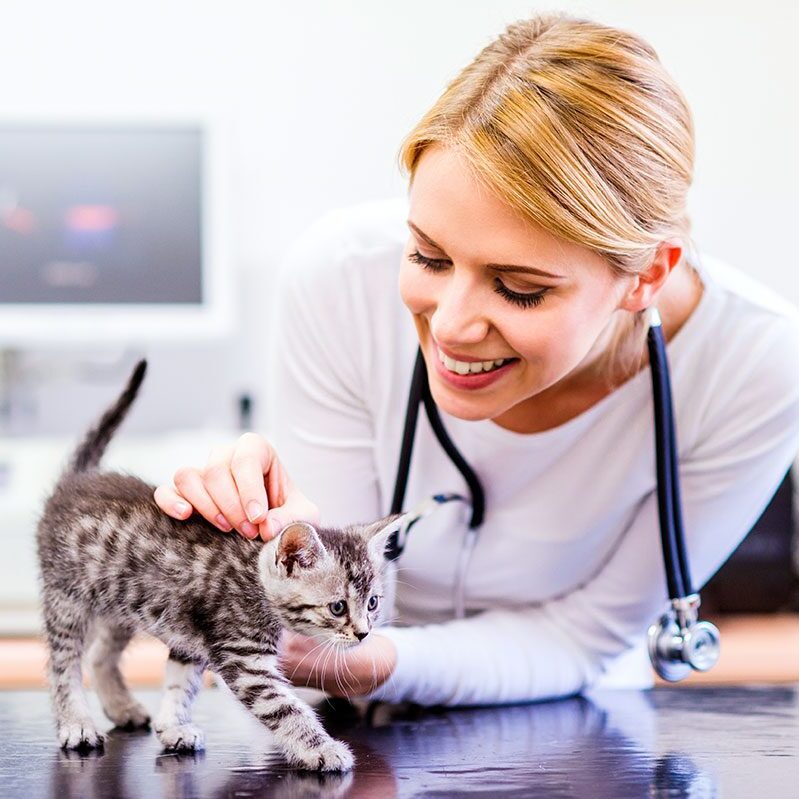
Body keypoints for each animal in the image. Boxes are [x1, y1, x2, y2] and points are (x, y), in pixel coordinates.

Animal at [36, 360, 406, 772]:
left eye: (372, 602)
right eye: (338, 607)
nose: (364, 634)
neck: (253, 578)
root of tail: (74, 482)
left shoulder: (192, 640)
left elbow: (181, 681)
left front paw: (173, 725)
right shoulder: (244, 658)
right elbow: (284, 708)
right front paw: (321, 748)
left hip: (122, 603)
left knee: (101, 654)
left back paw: (121, 706)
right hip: (67, 597)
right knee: (62, 663)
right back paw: (76, 723)